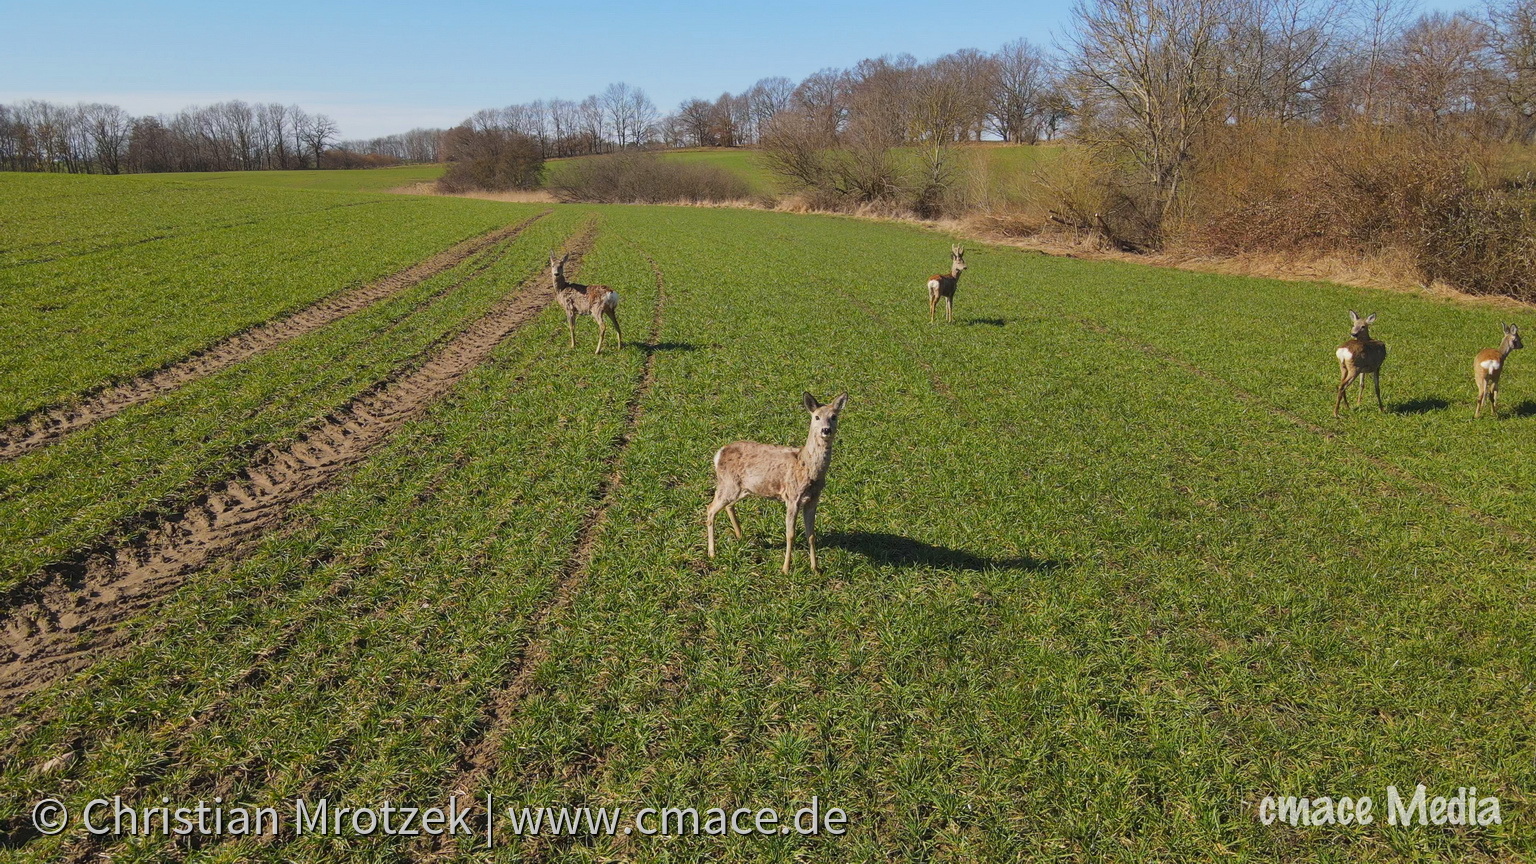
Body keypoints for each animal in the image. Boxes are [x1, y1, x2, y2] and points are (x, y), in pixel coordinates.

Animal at [709, 390, 854, 571]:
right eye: (816, 417)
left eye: (834, 416)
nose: (826, 430)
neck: (806, 466)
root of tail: (718, 454)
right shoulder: (792, 497)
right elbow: (790, 534)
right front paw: (785, 569)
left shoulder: (813, 499)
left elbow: (811, 535)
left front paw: (816, 569)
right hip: (727, 484)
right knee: (710, 509)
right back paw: (712, 553)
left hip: (743, 488)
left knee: (728, 506)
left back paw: (740, 536)